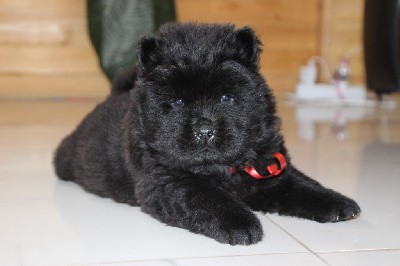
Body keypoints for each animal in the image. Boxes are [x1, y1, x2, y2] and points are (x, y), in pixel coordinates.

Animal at [52, 22, 360, 245]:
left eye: (226, 97)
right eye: (177, 102)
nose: (204, 130)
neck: (221, 168)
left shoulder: (270, 166)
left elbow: (301, 185)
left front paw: (338, 203)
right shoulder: (169, 181)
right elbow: (207, 198)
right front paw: (242, 224)